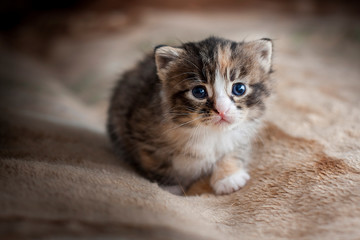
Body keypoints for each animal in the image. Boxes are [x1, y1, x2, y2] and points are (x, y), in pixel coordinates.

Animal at [107, 36, 272, 195]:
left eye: (239, 88)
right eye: (199, 92)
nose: (222, 110)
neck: (209, 132)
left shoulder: (244, 131)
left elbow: (235, 150)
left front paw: (228, 177)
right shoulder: (140, 129)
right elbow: (157, 163)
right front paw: (169, 187)